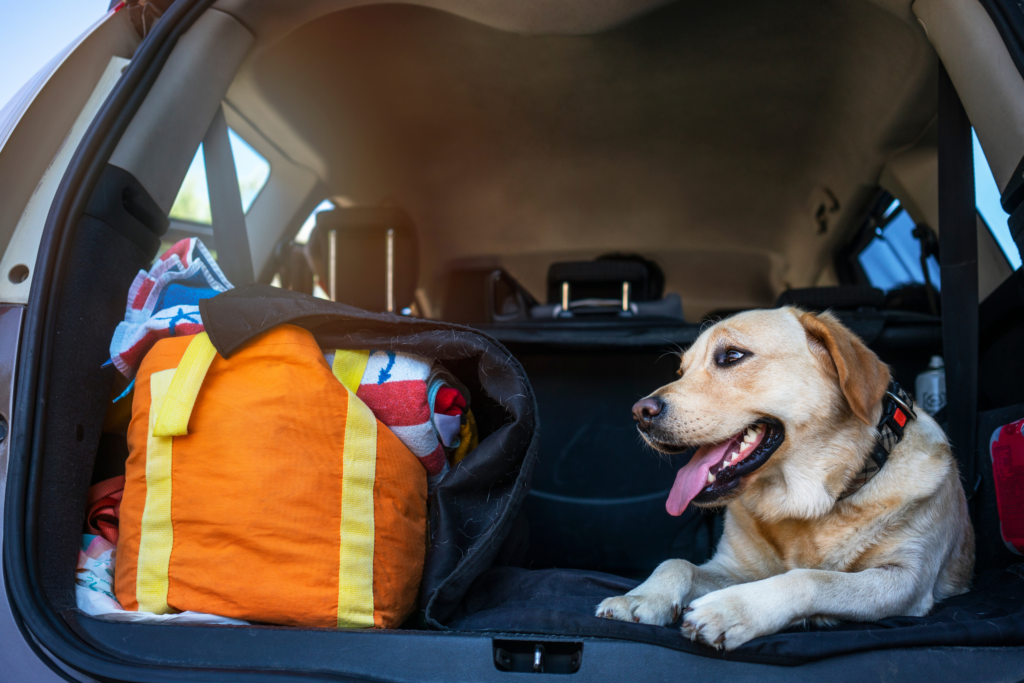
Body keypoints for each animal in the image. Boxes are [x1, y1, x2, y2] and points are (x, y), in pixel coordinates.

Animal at [598, 309, 974, 651]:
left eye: (732, 356)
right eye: (681, 371)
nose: (640, 413)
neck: (806, 503)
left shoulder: (906, 579)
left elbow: (811, 577)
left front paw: (732, 608)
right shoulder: (734, 567)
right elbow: (678, 563)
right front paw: (642, 596)